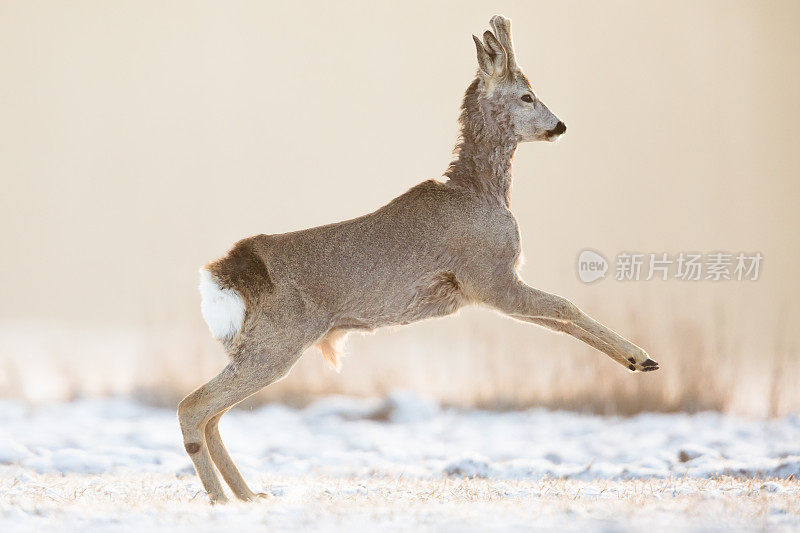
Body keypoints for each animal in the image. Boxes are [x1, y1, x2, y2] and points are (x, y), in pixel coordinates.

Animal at [180, 13, 656, 502]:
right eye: (527, 95)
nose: (559, 125)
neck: (481, 193)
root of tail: (226, 273)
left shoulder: (488, 289)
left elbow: (561, 321)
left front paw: (637, 361)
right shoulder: (489, 278)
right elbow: (566, 307)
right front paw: (642, 358)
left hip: (257, 346)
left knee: (213, 415)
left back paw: (249, 496)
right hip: (278, 341)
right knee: (193, 406)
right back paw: (223, 498)